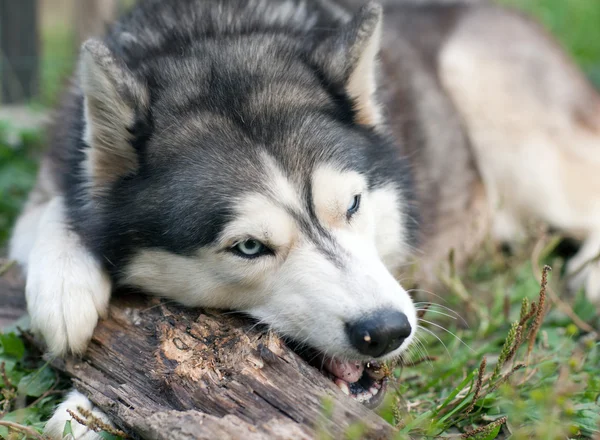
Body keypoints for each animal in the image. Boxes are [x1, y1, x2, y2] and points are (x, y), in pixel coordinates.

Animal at [9, 0, 600, 434]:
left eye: (354, 205)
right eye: (249, 246)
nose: (386, 330)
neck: (215, 30)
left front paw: (89, 404)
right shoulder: (52, 175)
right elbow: (52, 210)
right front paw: (65, 292)